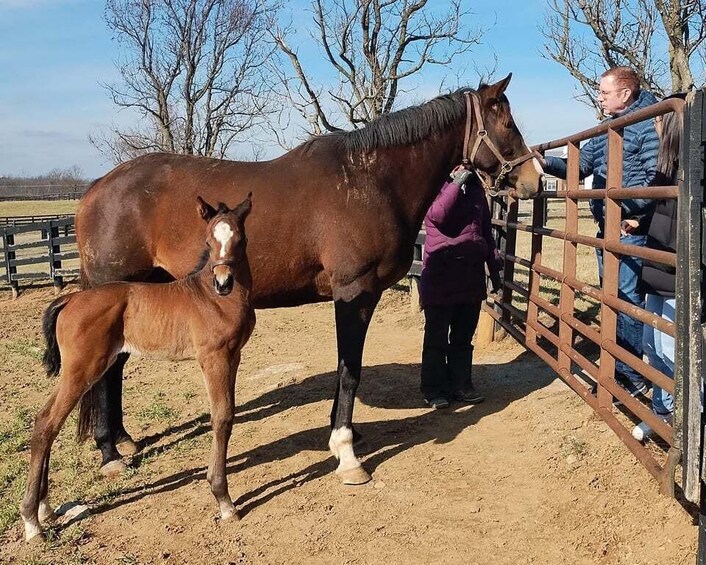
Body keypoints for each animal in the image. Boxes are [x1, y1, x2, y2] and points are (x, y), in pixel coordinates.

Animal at [18, 195, 256, 540]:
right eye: (208, 241)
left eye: (241, 239)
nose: (223, 282)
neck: (212, 299)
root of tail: (70, 300)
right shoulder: (214, 358)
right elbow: (222, 417)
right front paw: (224, 500)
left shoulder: (233, 356)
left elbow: (229, 413)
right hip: (82, 369)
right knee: (48, 422)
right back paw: (31, 521)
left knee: (45, 420)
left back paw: (44, 509)